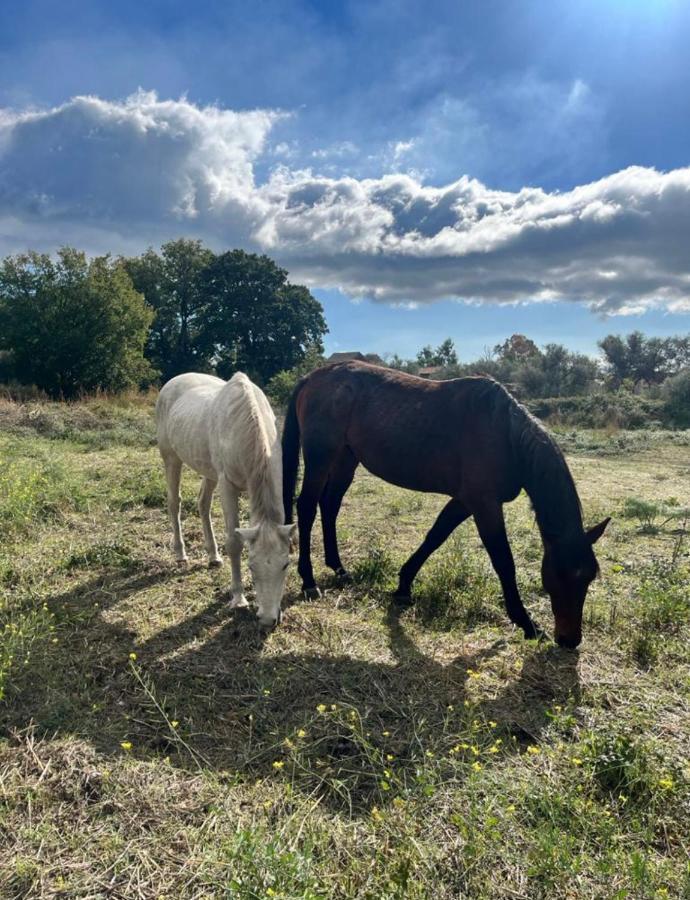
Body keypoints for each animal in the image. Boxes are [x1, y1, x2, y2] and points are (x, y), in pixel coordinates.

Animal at [155, 372, 294, 624]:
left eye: (285, 565)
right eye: (251, 566)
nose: (268, 620)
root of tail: (172, 382)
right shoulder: (227, 485)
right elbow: (234, 543)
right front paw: (238, 599)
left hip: (209, 472)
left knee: (203, 504)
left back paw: (213, 555)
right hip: (171, 458)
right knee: (174, 503)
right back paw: (180, 553)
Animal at [280, 362, 608, 652]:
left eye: (589, 576)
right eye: (561, 575)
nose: (570, 640)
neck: (505, 435)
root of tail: (312, 377)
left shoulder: (464, 501)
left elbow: (435, 536)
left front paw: (403, 586)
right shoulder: (484, 505)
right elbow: (503, 562)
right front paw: (527, 624)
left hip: (346, 458)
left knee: (330, 505)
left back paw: (338, 568)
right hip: (321, 457)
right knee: (307, 508)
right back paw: (308, 581)